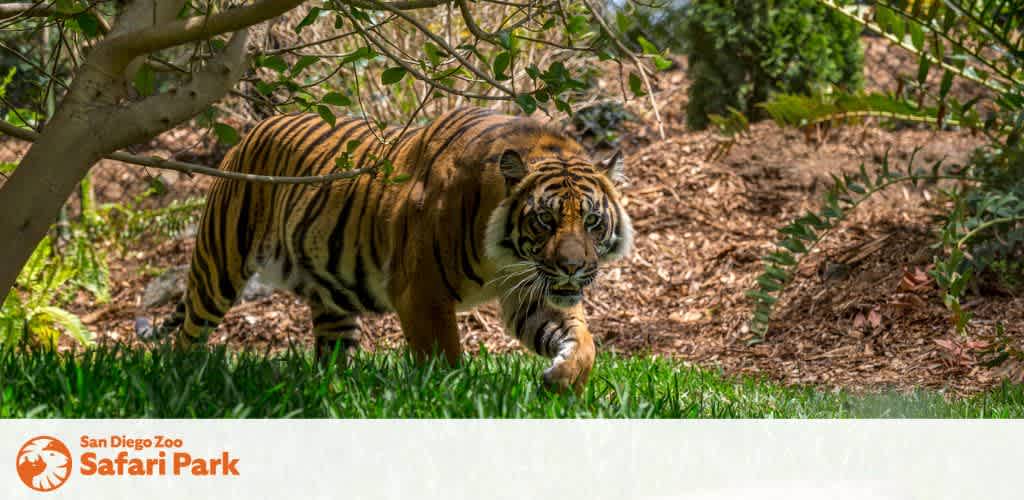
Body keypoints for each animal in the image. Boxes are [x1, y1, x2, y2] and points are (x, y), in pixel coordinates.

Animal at [137, 107, 630, 393]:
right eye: (544, 219)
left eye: (592, 221)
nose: (572, 268)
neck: (506, 258)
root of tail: (250, 130)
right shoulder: (422, 293)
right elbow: (444, 358)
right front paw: (453, 399)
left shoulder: (531, 292)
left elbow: (583, 342)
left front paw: (562, 380)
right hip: (218, 264)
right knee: (187, 334)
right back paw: (182, 379)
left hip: (333, 299)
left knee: (331, 353)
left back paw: (333, 392)